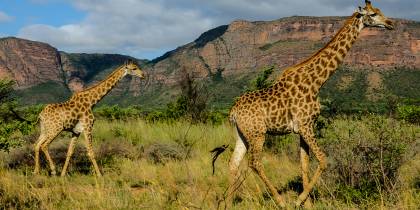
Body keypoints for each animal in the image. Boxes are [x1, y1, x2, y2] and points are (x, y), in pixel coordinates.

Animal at [226, 0, 394, 207]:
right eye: (372, 14)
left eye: (379, 11)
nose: (390, 23)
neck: (317, 81)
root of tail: (233, 112)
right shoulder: (306, 126)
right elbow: (323, 160)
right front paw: (299, 200)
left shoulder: (303, 128)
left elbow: (304, 164)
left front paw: (307, 203)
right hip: (258, 133)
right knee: (254, 163)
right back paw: (280, 201)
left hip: (242, 134)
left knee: (233, 164)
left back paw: (227, 203)